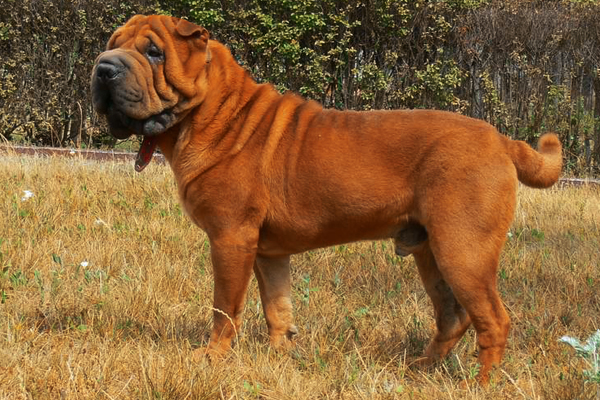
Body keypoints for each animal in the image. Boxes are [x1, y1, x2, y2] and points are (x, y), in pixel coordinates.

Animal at [90, 14, 564, 384]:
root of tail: (502, 140)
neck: (212, 114)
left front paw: (211, 357)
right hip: (432, 252)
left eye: (154, 52)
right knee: (453, 316)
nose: (103, 68)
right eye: (112, 45)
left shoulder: (230, 239)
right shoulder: (267, 252)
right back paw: (421, 369)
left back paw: (480, 384)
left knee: (493, 320)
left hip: (463, 250)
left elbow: (224, 307)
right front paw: (282, 356)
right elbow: (277, 307)